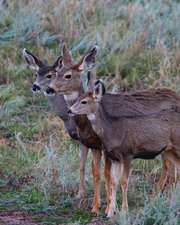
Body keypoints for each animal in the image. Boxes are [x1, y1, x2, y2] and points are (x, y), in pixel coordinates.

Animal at [22, 47, 107, 213]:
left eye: (50, 75)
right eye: (36, 74)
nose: (35, 86)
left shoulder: (90, 142)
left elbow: (93, 168)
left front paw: (93, 200)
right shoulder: (82, 140)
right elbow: (82, 165)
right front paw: (80, 195)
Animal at [69, 74, 180, 217]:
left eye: (84, 101)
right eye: (78, 98)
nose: (69, 110)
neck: (112, 130)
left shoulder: (128, 154)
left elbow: (124, 180)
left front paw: (124, 210)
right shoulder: (114, 157)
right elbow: (113, 181)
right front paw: (110, 212)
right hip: (169, 151)